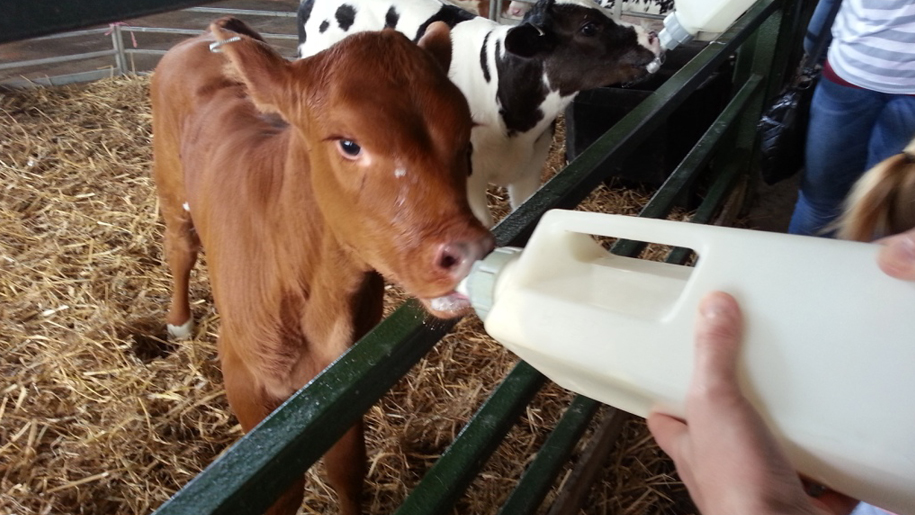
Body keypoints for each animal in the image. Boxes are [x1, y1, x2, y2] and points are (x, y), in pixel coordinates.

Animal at [150, 18, 494, 515]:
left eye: (466, 143)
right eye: (349, 144)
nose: (468, 251)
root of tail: (193, 43)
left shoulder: (341, 382)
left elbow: (347, 468)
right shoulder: (242, 374)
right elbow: (284, 491)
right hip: (170, 184)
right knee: (180, 247)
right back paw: (178, 320)